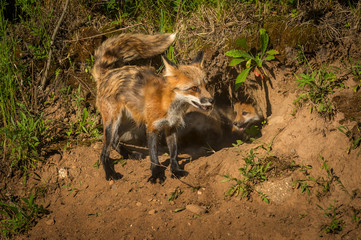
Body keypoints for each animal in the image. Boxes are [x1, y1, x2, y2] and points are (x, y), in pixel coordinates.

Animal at [91, 32, 212, 183]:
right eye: (194, 88)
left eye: (205, 86)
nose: (211, 100)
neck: (168, 104)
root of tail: (107, 74)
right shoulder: (152, 128)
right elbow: (154, 155)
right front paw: (156, 174)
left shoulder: (171, 127)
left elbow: (174, 153)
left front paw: (176, 170)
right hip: (112, 122)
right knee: (104, 152)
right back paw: (110, 172)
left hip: (130, 122)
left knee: (114, 141)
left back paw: (129, 154)